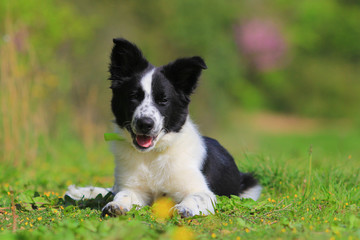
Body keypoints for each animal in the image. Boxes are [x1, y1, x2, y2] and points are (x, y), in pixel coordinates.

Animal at [65, 37, 262, 218]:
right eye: (133, 96)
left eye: (163, 100)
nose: (145, 124)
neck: (153, 156)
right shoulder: (134, 188)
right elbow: (123, 194)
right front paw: (116, 205)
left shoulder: (201, 190)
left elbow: (197, 197)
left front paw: (185, 208)